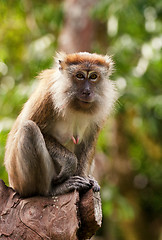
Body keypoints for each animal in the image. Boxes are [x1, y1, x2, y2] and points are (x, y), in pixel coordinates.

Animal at [4, 52, 116, 197]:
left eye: (93, 76)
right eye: (79, 75)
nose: (87, 91)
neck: (75, 104)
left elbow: (89, 141)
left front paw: (84, 178)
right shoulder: (48, 94)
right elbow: (32, 126)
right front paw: (70, 162)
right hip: (21, 182)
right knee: (28, 128)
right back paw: (52, 190)